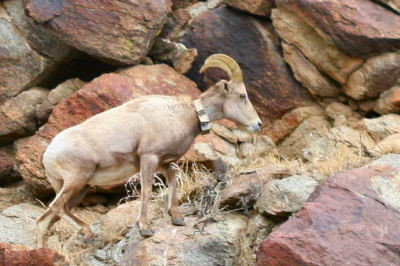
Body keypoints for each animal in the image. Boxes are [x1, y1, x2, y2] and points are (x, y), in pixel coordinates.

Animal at [36, 54, 262, 247]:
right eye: (242, 95)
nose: (258, 124)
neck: (182, 115)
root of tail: (48, 154)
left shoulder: (165, 163)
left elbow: (173, 183)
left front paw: (177, 218)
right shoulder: (149, 158)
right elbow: (146, 191)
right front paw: (145, 228)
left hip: (79, 188)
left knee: (45, 221)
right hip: (76, 180)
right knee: (56, 207)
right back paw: (88, 233)